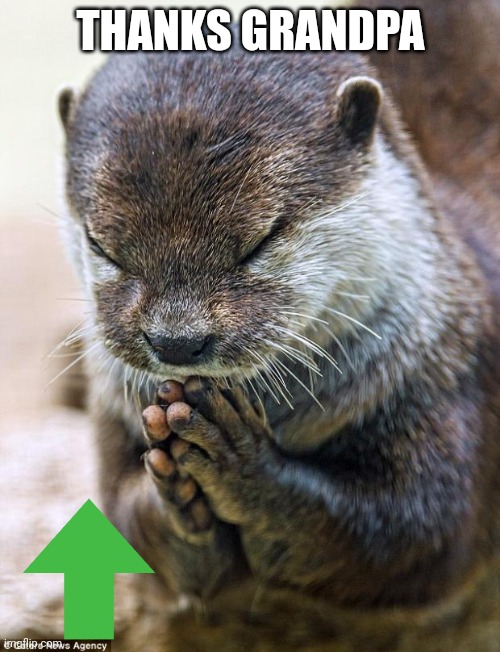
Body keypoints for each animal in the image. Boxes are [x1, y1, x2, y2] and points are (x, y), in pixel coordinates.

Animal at [57, 2, 500, 650]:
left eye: (260, 241)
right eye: (103, 246)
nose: (176, 340)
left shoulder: (451, 372)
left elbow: (416, 532)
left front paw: (242, 465)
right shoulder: (112, 409)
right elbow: (122, 517)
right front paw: (175, 502)